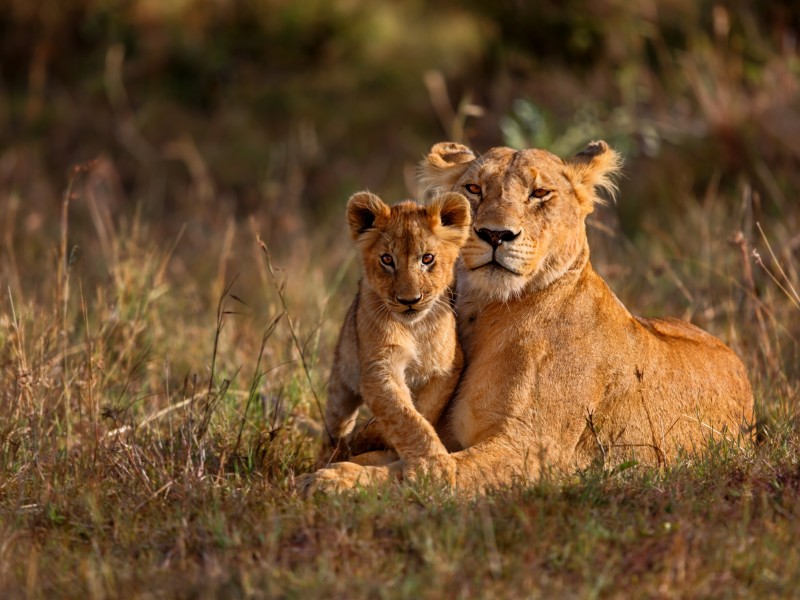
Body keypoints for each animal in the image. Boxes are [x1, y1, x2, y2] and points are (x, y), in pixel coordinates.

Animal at [316, 190, 471, 472]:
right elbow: (404, 416)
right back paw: (330, 455)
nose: (409, 300)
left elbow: (424, 411)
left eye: (427, 258)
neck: (415, 328)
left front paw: (373, 436)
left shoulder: (447, 368)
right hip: (341, 382)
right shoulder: (379, 368)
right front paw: (433, 465)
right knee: (335, 425)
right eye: (387, 259)